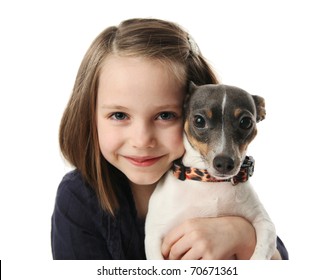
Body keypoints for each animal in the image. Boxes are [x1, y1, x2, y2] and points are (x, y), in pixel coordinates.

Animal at [144, 83, 276, 260]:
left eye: (246, 122)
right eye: (199, 120)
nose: (224, 163)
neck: (210, 183)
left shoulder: (264, 222)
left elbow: (261, 252)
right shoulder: (154, 235)